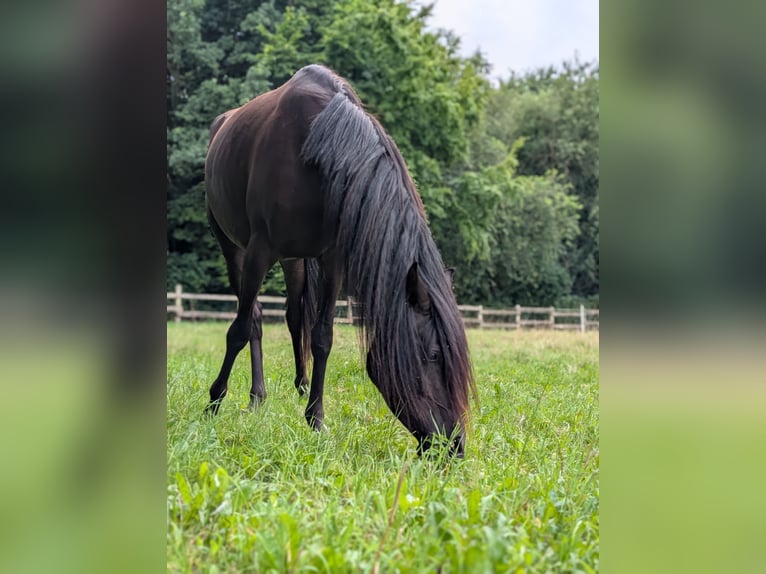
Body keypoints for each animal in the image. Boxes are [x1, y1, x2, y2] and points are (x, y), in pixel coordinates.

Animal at [203, 64, 474, 456]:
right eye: (435, 355)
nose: (454, 446)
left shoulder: (331, 261)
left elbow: (322, 336)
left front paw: (315, 419)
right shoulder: (258, 251)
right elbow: (239, 329)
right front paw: (213, 402)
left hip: (295, 260)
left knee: (293, 315)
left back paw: (297, 385)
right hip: (232, 245)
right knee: (252, 315)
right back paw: (256, 396)